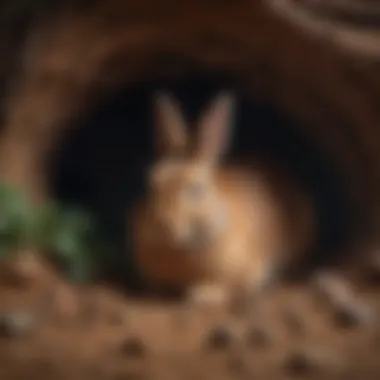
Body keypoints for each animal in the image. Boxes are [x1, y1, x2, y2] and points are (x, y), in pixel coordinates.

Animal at [131, 91, 314, 308]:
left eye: (196, 189)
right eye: (152, 183)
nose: (159, 224)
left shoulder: (248, 271)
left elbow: (231, 289)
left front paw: (201, 295)